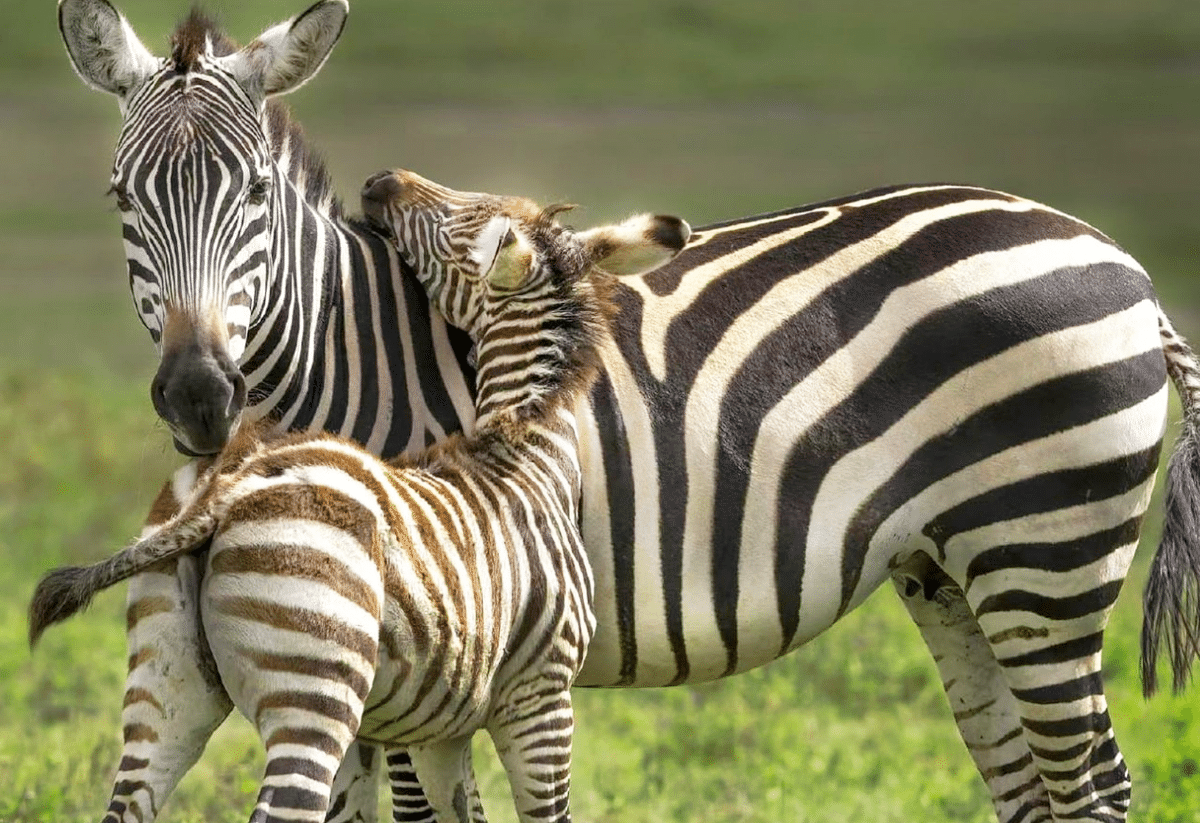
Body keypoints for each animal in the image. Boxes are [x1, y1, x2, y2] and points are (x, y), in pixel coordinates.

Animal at [30, 175, 696, 823]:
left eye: (457, 219)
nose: (381, 183)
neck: (527, 452)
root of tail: (227, 490)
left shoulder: (442, 732)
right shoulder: (542, 697)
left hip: (165, 688)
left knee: (129, 800)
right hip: (317, 687)